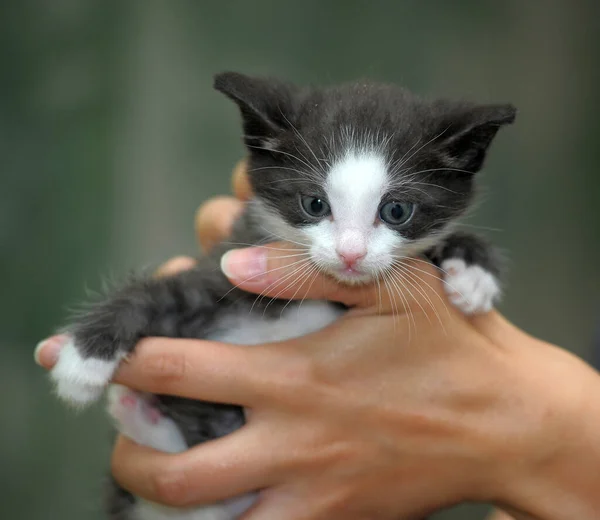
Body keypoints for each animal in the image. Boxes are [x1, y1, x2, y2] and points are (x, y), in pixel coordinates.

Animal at [48, 72, 516, 520]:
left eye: (396, 211)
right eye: (314, 204)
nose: (350, 253)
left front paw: (471, 266)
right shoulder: (225, 269)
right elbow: (158, 295)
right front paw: (83, 360)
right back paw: (135, 413)